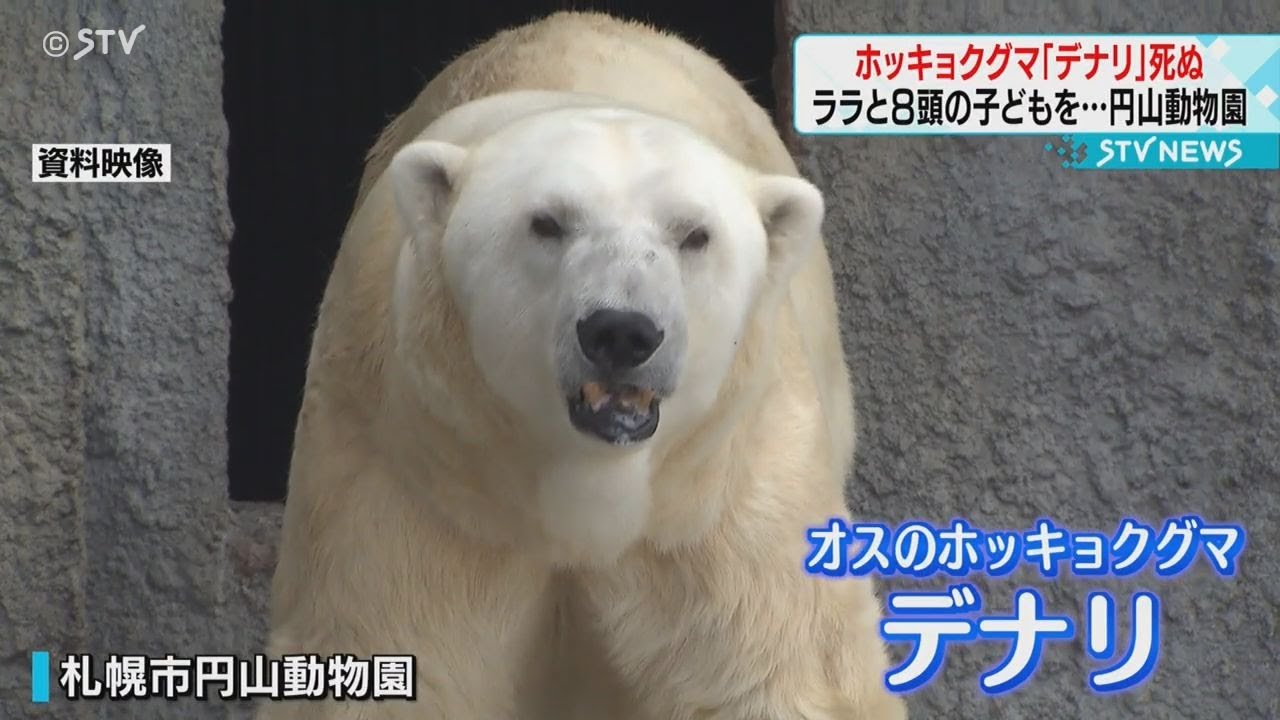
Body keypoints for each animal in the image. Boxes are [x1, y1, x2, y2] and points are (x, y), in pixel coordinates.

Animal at [257, 11, 906, 720]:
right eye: (547, 223)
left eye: (695, 234)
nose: (621, 332)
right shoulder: (415, 470)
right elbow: (385, 647)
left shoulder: (719, 494)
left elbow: (785, 670)